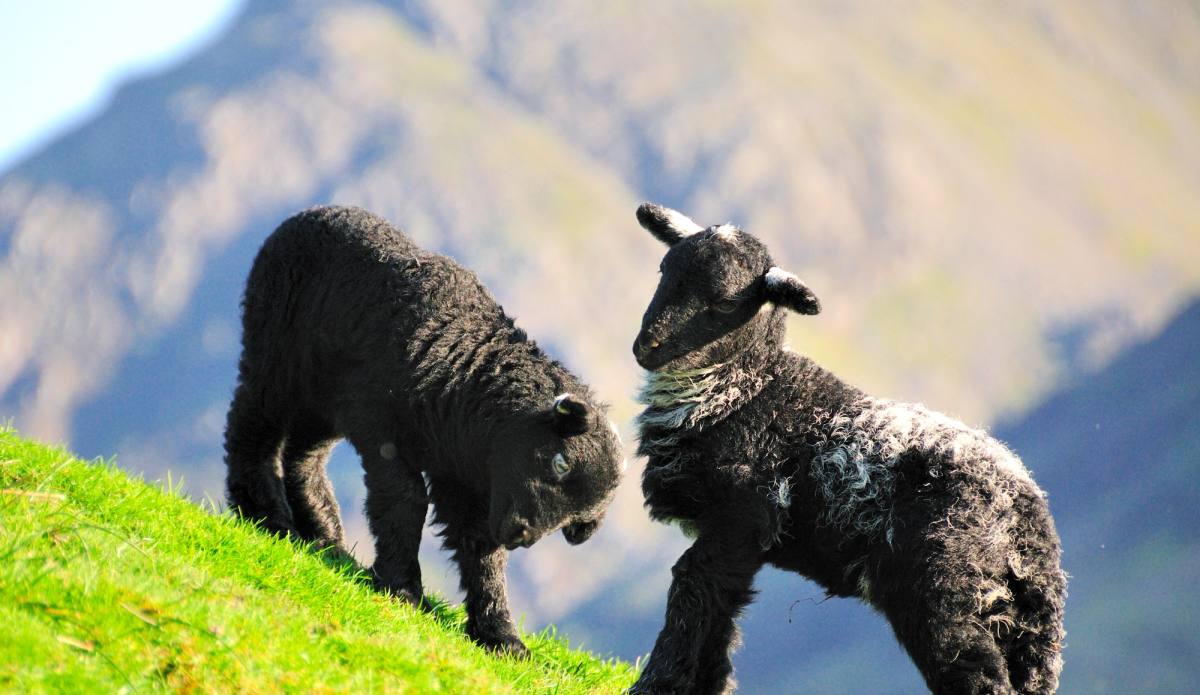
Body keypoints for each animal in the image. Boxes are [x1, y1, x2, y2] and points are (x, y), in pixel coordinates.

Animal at [223, 205, 624, 656]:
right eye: (560, 463)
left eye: (576, 519)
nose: (522, 535)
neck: (466, 378)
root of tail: (309, 212)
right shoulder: (384, 428)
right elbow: (404, 499)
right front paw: (402, 587)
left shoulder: (464, 480)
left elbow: (480, 549)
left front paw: (500, 636)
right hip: (276, 352)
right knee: (252, 422)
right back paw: (265, 513)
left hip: (324, 401)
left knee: (303, 455)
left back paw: (325, 536)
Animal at [628, 203, 1066, 694]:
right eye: (664, 270)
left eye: (723, 302)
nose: (645, 347)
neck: (745, 390)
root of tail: (1030, 523)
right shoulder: (743, 538)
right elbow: (720, 613)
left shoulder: (741, 514)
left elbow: (693, 588)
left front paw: (655, 684)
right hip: (1007, 612)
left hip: (943, 582)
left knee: (975, 672)